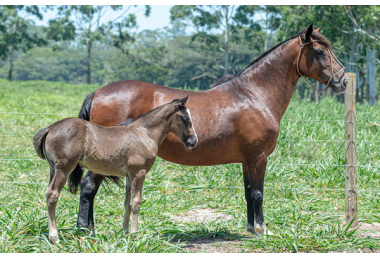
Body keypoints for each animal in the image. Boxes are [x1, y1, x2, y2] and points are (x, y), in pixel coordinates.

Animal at [33, 96, 197, 243]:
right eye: (185, 118)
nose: (193, 141)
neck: (144, 134)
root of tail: (49, 128)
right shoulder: (139, 173)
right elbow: (136, 202)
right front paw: (135, 236)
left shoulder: (129, 176)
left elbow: (127, 203)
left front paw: (125, 234)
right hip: (64, 167)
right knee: (52, 194)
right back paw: (54, 237)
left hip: (53, 168)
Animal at [74, 24, 348, 236]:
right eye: (320, 52)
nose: (343, 81)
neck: (254, 94)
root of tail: (98, 92)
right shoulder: (259, 157)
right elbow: (258, 193)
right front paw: (262, 229)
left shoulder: (247, 160)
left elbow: (248, 193)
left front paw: (251, 228)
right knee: (88, 187)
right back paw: (86, 231)